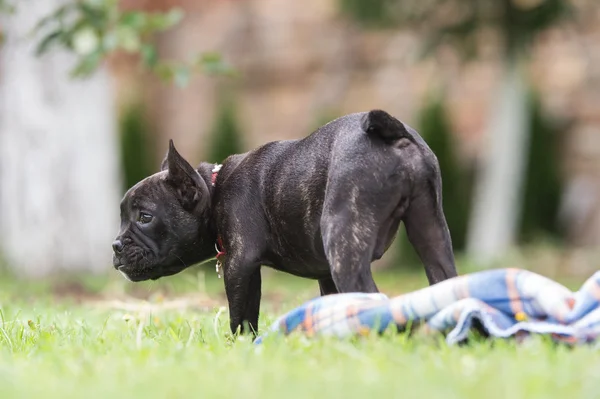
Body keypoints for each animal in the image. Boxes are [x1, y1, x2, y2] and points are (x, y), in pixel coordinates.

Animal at [112, 109, 458, 334]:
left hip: (343, 240)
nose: (115, 245)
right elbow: (330, 301)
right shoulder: (324, 275)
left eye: (145, 217)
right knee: (445, 279)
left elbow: (242, 316)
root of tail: (388, 131)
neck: (214, 190)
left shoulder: (240, 265)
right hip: (431, 230)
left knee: (369, 295)